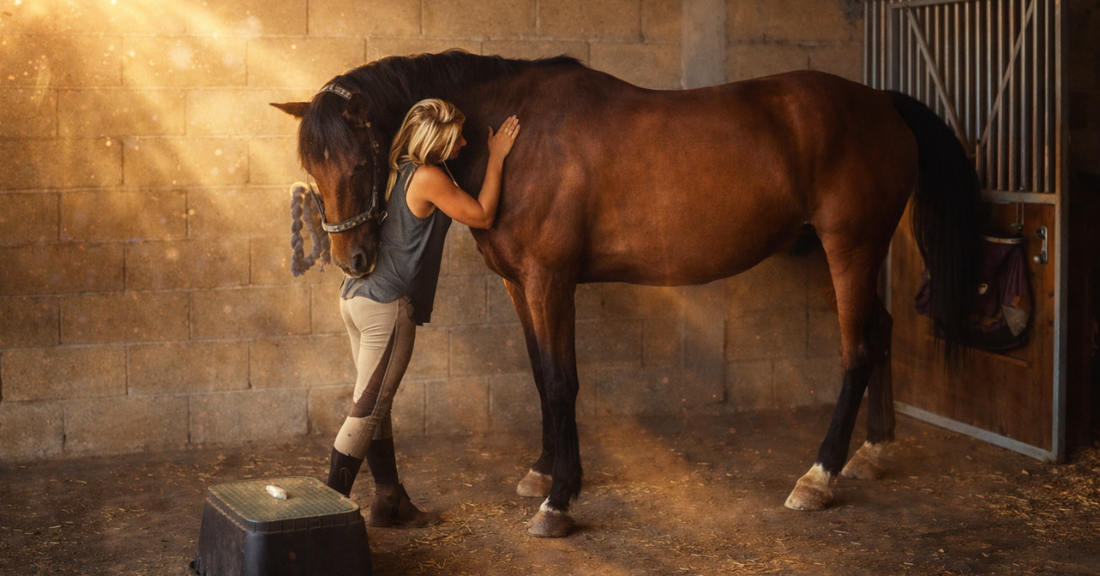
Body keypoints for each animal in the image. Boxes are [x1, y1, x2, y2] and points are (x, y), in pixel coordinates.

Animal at [272, 51, 985, 538]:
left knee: (858, 350)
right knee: (882, 330)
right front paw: (543, 470)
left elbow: (562, 382)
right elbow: (540, 376)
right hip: (853, 256)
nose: (353, 260)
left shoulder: (551, 281)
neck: (516, 135)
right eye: (312, 167)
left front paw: (559, 501)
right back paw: (875, 451)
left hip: (850, 249)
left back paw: (819, 476)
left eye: (359, 162)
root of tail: (881, 102)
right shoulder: (519, 284)